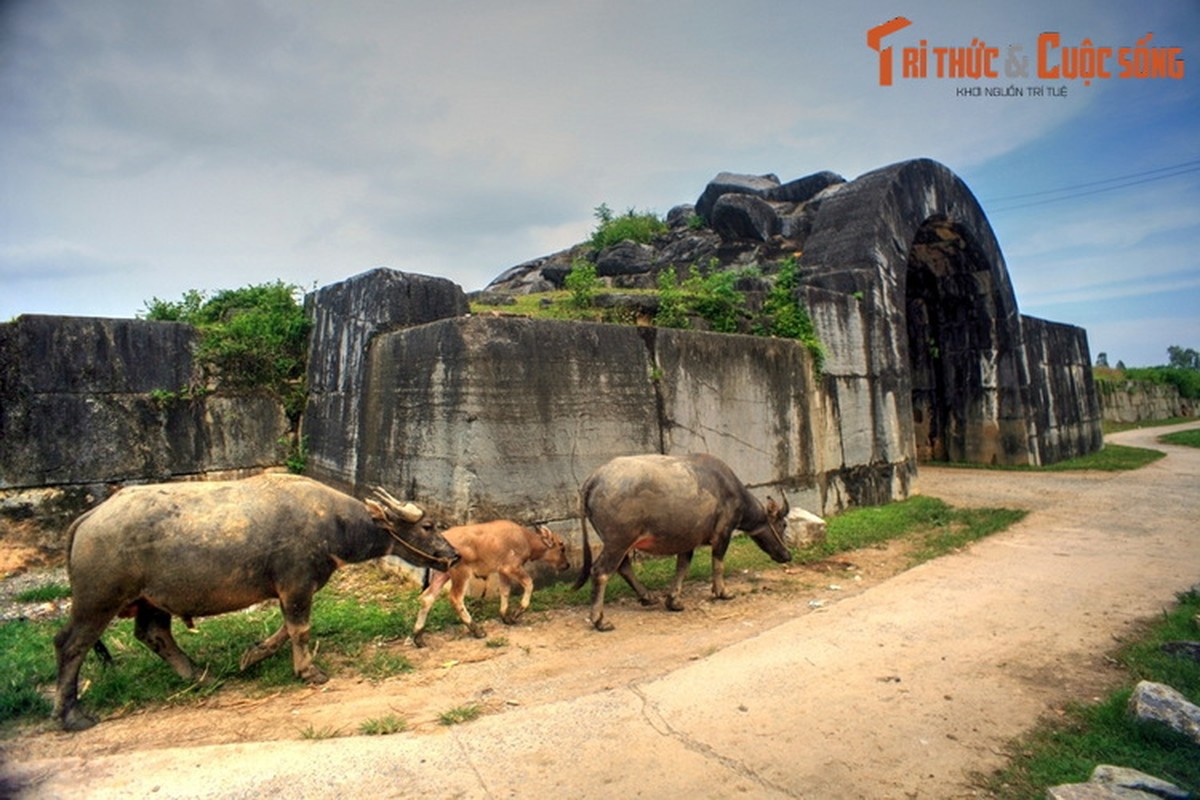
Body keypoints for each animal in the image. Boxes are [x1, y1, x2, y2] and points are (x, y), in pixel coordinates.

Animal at [50, 474, 458, 734]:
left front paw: (253, 654)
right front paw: (309, 671)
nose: (452, 555)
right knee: (71, 645)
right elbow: (300, 628)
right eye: (428, 527)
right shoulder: (296, 584)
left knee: (154, 633)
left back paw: (200, 675)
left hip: (151, 600)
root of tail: (89, 517)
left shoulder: (290, 589)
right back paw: (72, 715)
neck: (333, 523)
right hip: (98, 601)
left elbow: (285, 630)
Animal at [412, 522, 571, 647]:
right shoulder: (512, 568)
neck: (526, 540)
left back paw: (418, 638)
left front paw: (506, 617)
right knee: (455, 598)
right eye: (561, 547)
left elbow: (505, 591)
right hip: (461, 573)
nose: (567, 565)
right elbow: (529, 584)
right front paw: (516, 614)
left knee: (427, 598)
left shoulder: (502, 571)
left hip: (442, 574)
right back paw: (477, 631)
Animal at [573, 455, 792, 633]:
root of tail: (594, 478)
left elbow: (682, 567)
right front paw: (723, 592)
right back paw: (600, 620)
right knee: (601, 571)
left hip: (618, 543)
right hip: (618, 541)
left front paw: (673, 601)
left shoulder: (688, 541)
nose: (787, 555)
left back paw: (647, 597)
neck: (731, 492)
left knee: (623, 567)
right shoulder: (723, 533)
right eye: (783, 524)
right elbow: (718, 563)